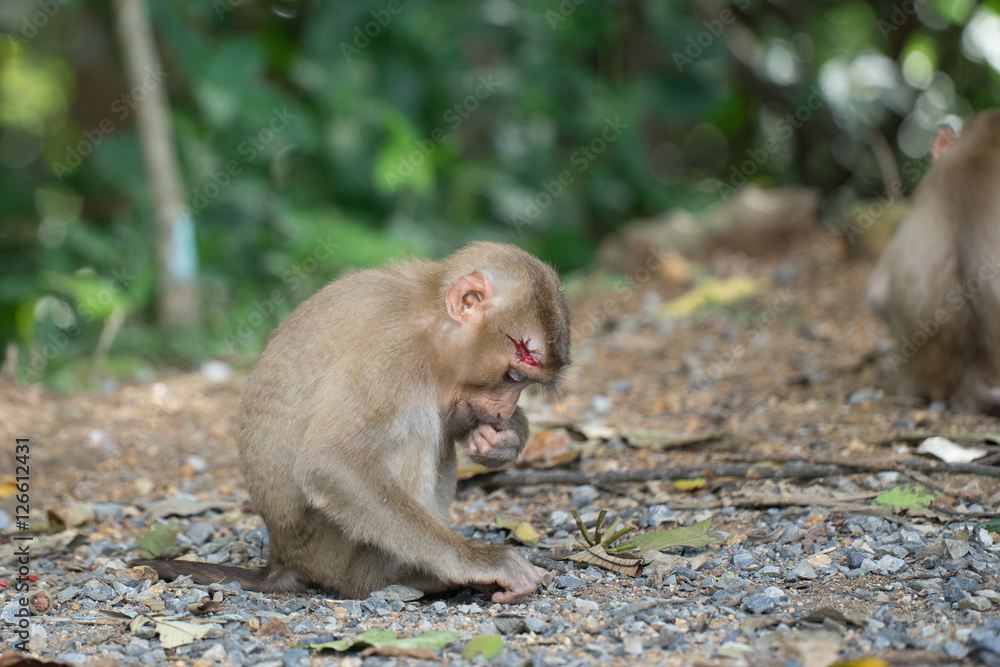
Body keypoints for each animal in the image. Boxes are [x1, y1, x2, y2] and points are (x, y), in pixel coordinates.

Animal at [136, 242, 570, 603]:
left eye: (524, 383)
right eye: (513, 375)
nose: (502, 412)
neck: (430, 320)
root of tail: (282, 556)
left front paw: (503, 441)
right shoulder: (390, 357)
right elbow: (331, 463)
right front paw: (478, 562)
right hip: (328, 546)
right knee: (416, 430)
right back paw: (387, 582)